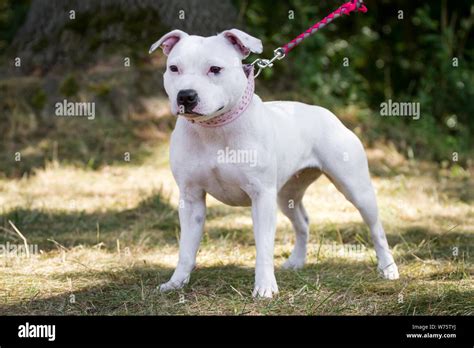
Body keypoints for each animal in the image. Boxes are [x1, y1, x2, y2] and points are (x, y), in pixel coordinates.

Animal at [149, 28, 400, 298]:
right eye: (174, 68)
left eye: (215, 69)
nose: (186, 95)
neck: (214, 129)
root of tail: (328, 114)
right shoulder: (191, 198)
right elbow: (186, 249)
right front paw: (176, 283)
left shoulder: (261, 197)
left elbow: (264, 247)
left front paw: (265, 287)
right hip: (287, 195)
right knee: (303, 222)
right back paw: (297, 261)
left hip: (356, 189)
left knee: (376, 228)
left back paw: (388, 268)